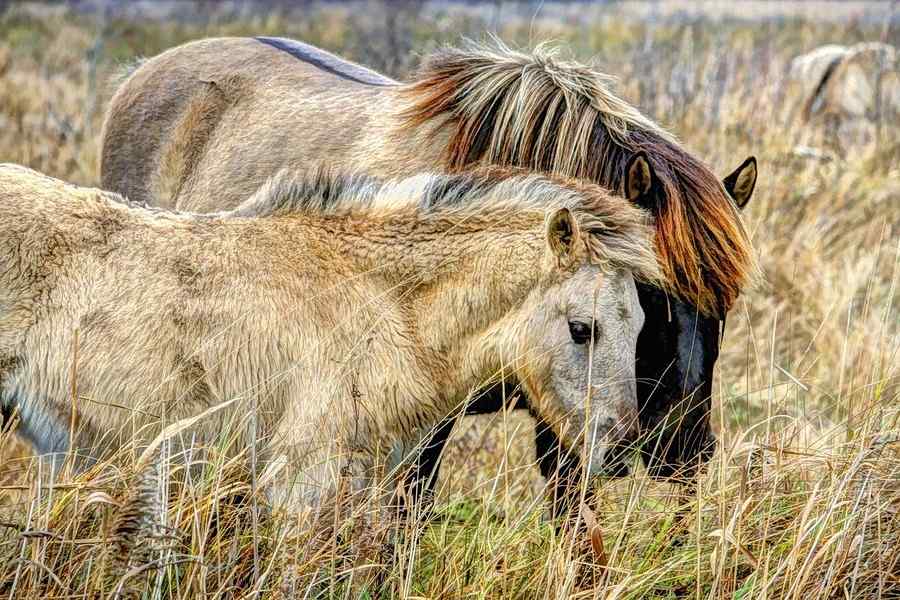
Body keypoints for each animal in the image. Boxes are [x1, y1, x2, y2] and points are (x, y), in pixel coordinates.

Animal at [99, 38, 758, 512]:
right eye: (652, 295)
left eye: (725, 308)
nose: (686, 451)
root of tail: (141, 72)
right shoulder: (418, 419)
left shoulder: (567, 416)